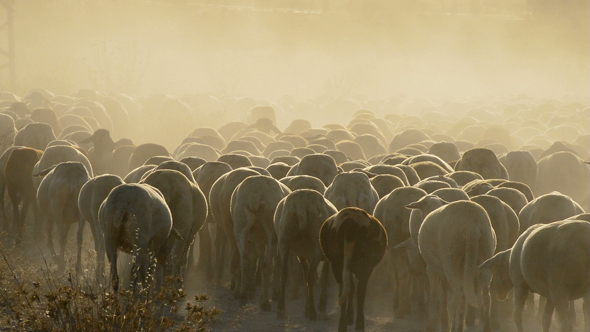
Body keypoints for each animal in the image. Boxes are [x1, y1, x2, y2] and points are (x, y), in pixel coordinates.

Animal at [231, 174, 292, 308]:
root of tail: (255, 193)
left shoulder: (257, 240)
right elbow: (277, 263)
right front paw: (275, 292)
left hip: (240, 226)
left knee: (244, 259)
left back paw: (242, 295)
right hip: (271, 231)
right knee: (267, 264)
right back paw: (265, 303)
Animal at [276, 191, 340, 320]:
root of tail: (301, 202)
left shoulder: (302, 254)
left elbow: (306, 276)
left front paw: (307, 307)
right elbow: (322, 275)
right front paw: (320, 305)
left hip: (284, 239)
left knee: (284, 273)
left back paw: (280, 309)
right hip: (317, 243)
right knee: (311, 277)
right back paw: (313, 312)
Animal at [412, 197, 500, 332]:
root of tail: (471, 224)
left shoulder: (432, 267)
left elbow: (435, 295)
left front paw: (432, 325)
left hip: (451, 257)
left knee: (458, 294)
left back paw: (457, 327)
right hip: (485, 252)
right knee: (485, 295)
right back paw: (486, 327)